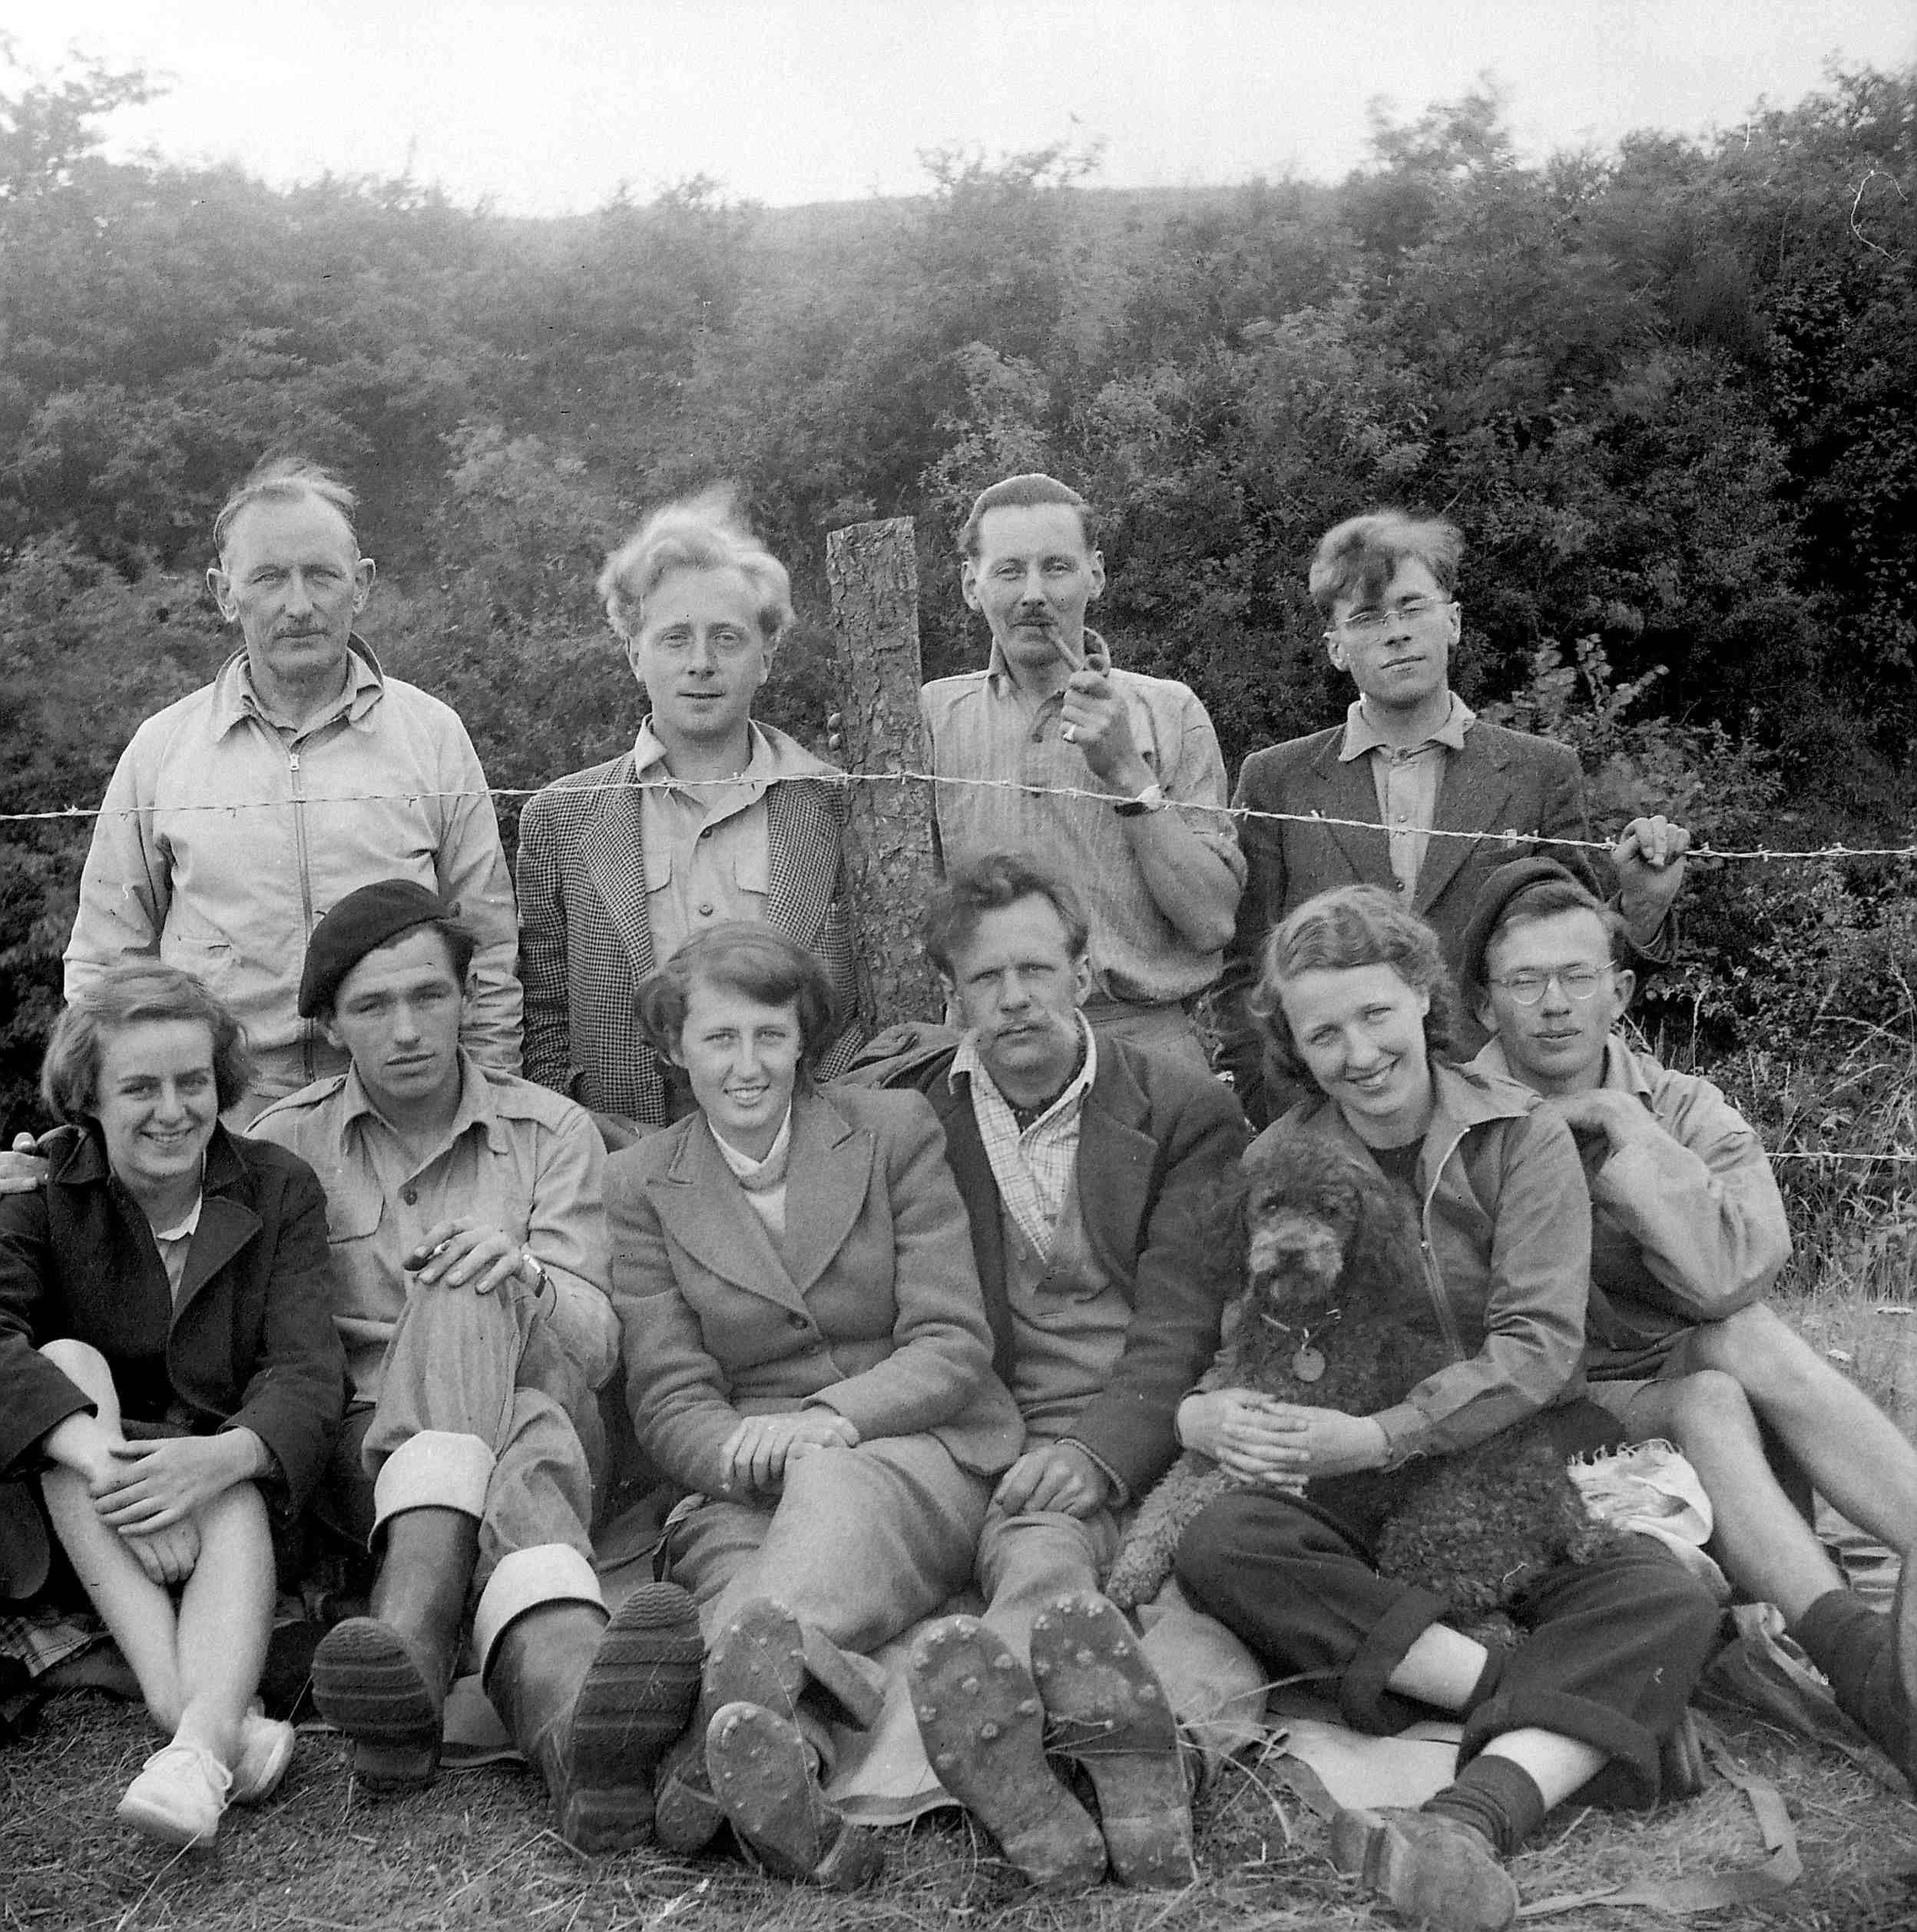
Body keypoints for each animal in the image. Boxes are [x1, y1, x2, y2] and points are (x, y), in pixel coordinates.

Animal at [1105, 1120, 1615, 1646]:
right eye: (1270, 1205)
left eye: (1330, 1211)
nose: (1292, 1251)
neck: (1303, 1330)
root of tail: (1568, 1511)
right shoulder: (1224, 1433)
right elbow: (1164, 1498)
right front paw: (1131, 1570)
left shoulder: (1275, 1459)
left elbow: (1195, 1503)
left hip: (1437, 1532)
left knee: (1474, 1620)